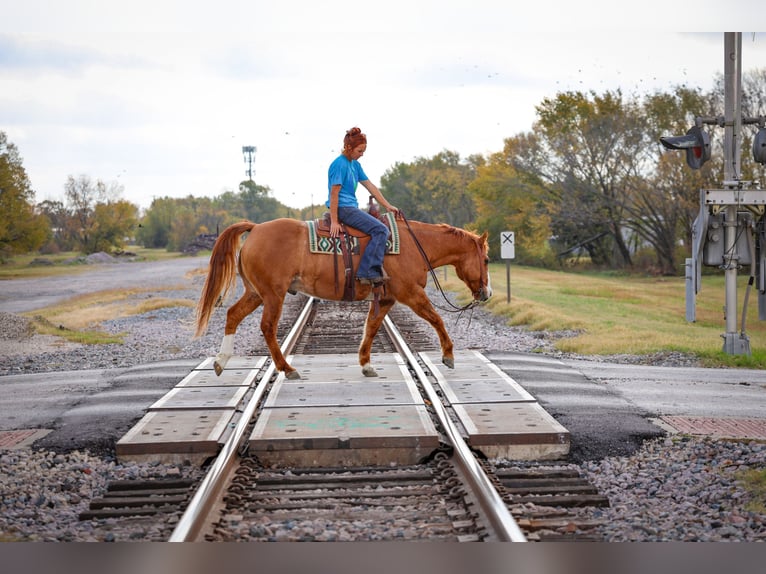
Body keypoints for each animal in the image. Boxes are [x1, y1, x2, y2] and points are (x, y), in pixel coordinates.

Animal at [194, 217, 491, 379]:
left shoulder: (386, 300)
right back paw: (287, 368)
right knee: (267, 327)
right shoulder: (411, 294)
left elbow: (371, 328)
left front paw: (366, 364)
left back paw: (221, 361)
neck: (412, 245)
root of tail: (255, 229)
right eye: (487, 259)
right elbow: (437, 318)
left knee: (233, 314)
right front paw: (448, 355)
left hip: (256, 293)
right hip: (273, 295)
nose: (487, 294)